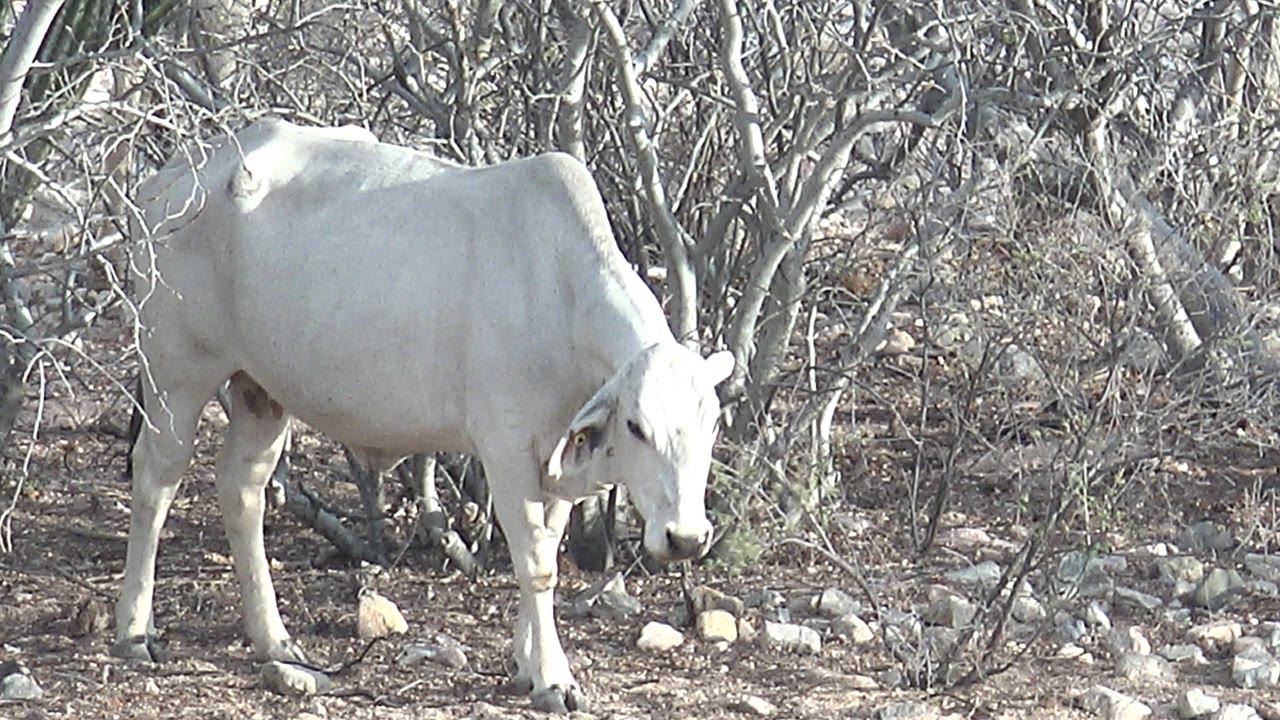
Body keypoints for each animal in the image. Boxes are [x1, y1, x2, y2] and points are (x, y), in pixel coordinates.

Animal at [117, 118, 733, 713]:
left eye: (710, 427)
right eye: (638, 427)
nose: (686, 537)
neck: (558, 292)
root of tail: (169, 178)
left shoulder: (560, 457)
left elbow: (548, 550)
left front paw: (525, 662)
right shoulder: (506, 447)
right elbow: (536, 561)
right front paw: (553, 679)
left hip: (260, 390)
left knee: (241, 489)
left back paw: (273, 637)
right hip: (175, 373)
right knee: (156, 479)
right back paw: (135, 630)